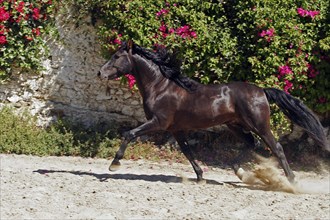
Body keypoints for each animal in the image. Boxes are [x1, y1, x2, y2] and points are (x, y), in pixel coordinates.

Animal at [97, 40, 328, 183]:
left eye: (116, 56)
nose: (100, 73)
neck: (160, 87)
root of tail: (262, 90)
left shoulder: (158, 122)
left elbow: (129, 134)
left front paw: (114, 164)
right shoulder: (175, 129)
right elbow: (187, 151)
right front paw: (200, 177)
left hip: (259, 125)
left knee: (276, 147)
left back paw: (292, 181)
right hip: (235, 125)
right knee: (251, 144)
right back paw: (239, 171)